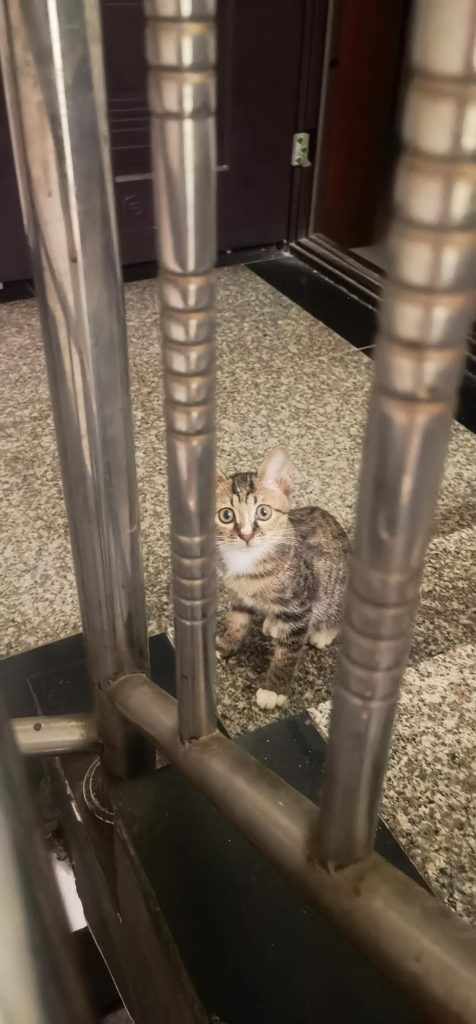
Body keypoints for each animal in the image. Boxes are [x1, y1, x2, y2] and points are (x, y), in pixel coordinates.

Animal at [215, 446, 349, 710]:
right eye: (226, 515)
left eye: (263, 512)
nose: (245, 535)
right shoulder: (238, 595)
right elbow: (237, 620)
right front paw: (227, 643)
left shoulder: (299, 605)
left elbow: (287, 653)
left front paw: (273, 689)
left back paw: (324, 632)